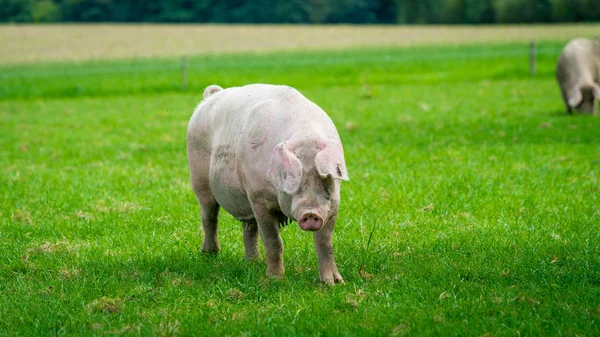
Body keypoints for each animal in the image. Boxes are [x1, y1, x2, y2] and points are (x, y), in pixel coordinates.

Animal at [185, 83, 350, 284]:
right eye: (290, 181)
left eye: (326, 181)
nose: (311, 213)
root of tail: (210, 96)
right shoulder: (259, 197)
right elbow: (273, 241)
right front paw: (275, 280)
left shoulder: (333, 206)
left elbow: (325, 242)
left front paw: (334, 283)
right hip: (199, 178)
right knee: (209, 216)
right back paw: (210, 255)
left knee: (249, 228)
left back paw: (254, 262)